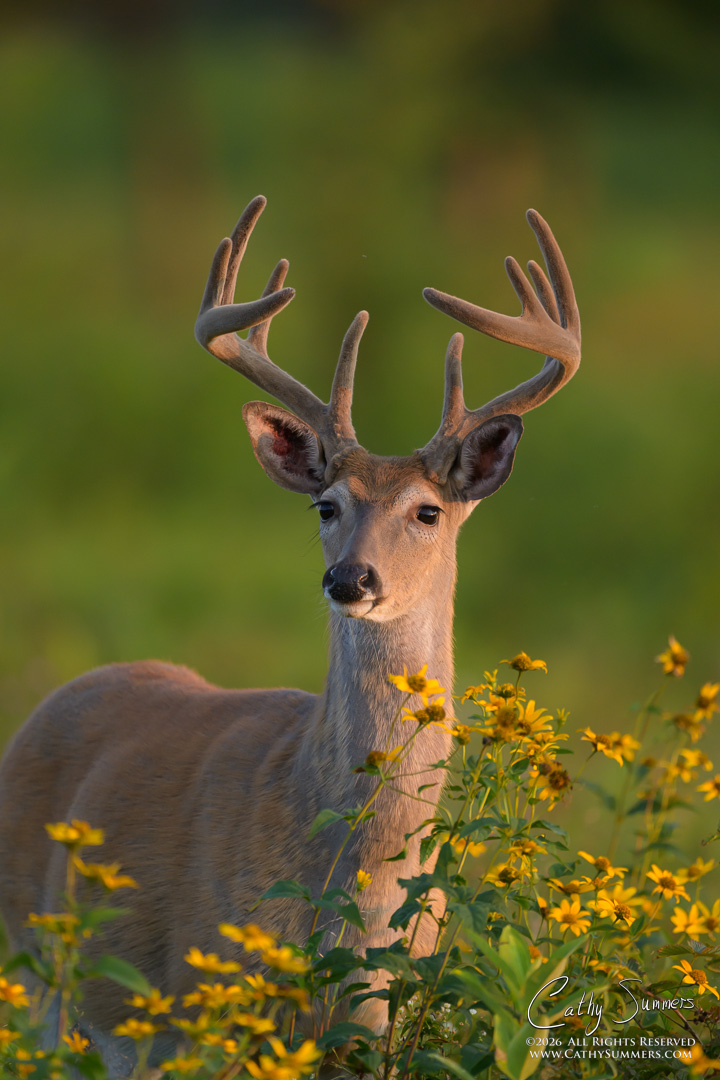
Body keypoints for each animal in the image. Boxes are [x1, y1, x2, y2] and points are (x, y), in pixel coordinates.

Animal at [0, 196, 580, 1073]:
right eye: (326, 505)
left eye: (428, 511)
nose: (350, 580)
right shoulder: (201, 996)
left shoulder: (376, 1016)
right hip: (42, 974)